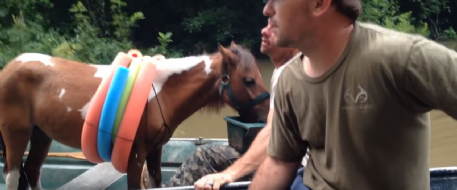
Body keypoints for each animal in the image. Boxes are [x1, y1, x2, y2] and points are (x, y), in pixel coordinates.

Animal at [0, 42, 270, 189]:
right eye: (248, 80)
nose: (267, 114)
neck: (160, 92)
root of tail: (9, 67)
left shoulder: (155, 150)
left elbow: (155, 182)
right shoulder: (136, 155)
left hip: (41, 134)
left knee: (32, 171)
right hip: (16, 135)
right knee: (13, 177)